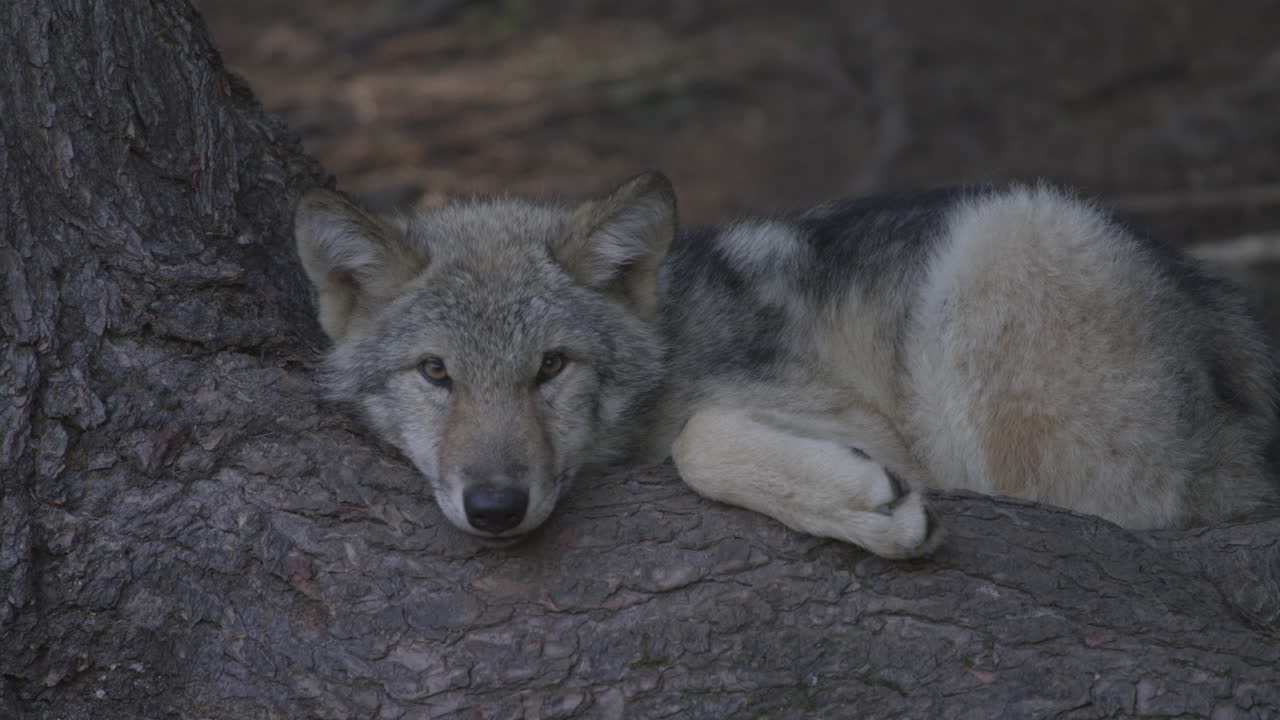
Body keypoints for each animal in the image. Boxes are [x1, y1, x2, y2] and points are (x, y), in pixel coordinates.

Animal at [294, 173, 1280, 558]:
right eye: (435, 373)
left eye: (551, 367)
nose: (494, 507)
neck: (673, 342)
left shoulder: (872, 428)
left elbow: (696, 439)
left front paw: (867, 506)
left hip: (1009, 238)